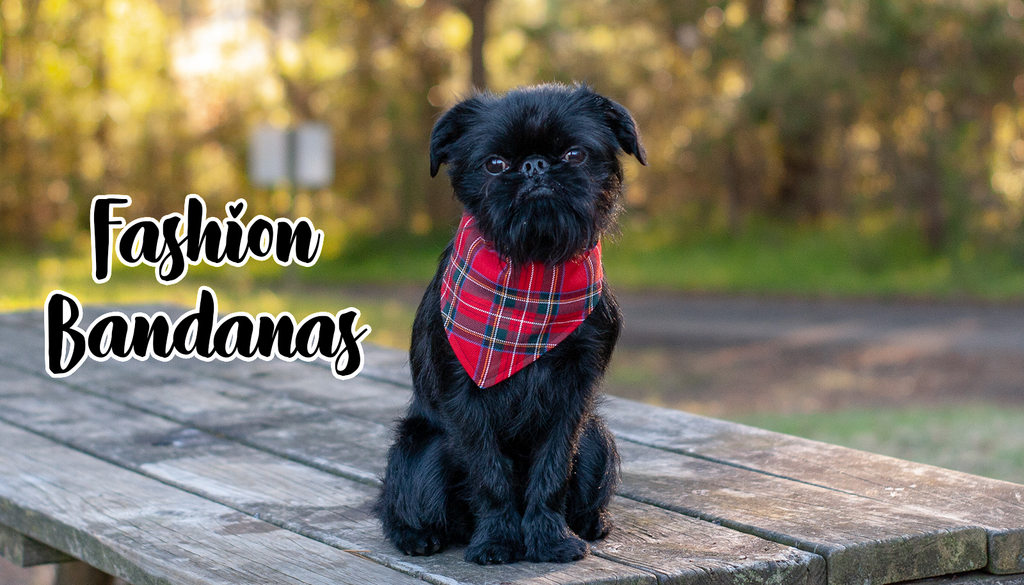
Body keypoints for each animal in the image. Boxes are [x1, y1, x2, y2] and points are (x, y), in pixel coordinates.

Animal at [376, 84, 647, 565]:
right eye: (495, 164)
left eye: (575, 154)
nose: (535, 165)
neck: (532, 269)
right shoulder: (465, 398)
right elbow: (490, 473)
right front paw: (499, 540)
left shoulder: (572, 398)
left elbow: (553, 468)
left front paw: (549, 539)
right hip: (421, 449)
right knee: (395, 500)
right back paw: (415, 536)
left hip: (596, 439)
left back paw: (591, 522)